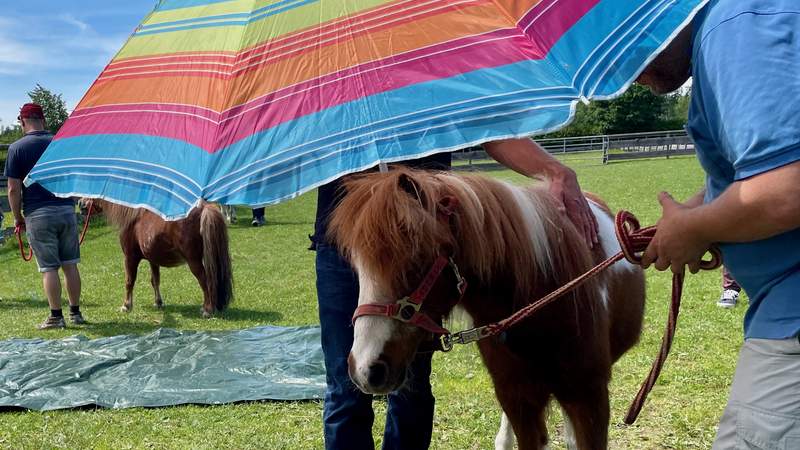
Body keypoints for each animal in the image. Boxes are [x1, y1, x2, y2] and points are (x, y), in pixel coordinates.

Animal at [95, 200, 234, 316]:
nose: (84, 204)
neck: (134, 217)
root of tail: (205, 207)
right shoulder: (153, 260)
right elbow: (155, 280)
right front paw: (158, 302)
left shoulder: (130, 258)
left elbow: (129, 281)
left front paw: (126, 306)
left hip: (194, 262)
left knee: (205, 281)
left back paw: (207, 310)